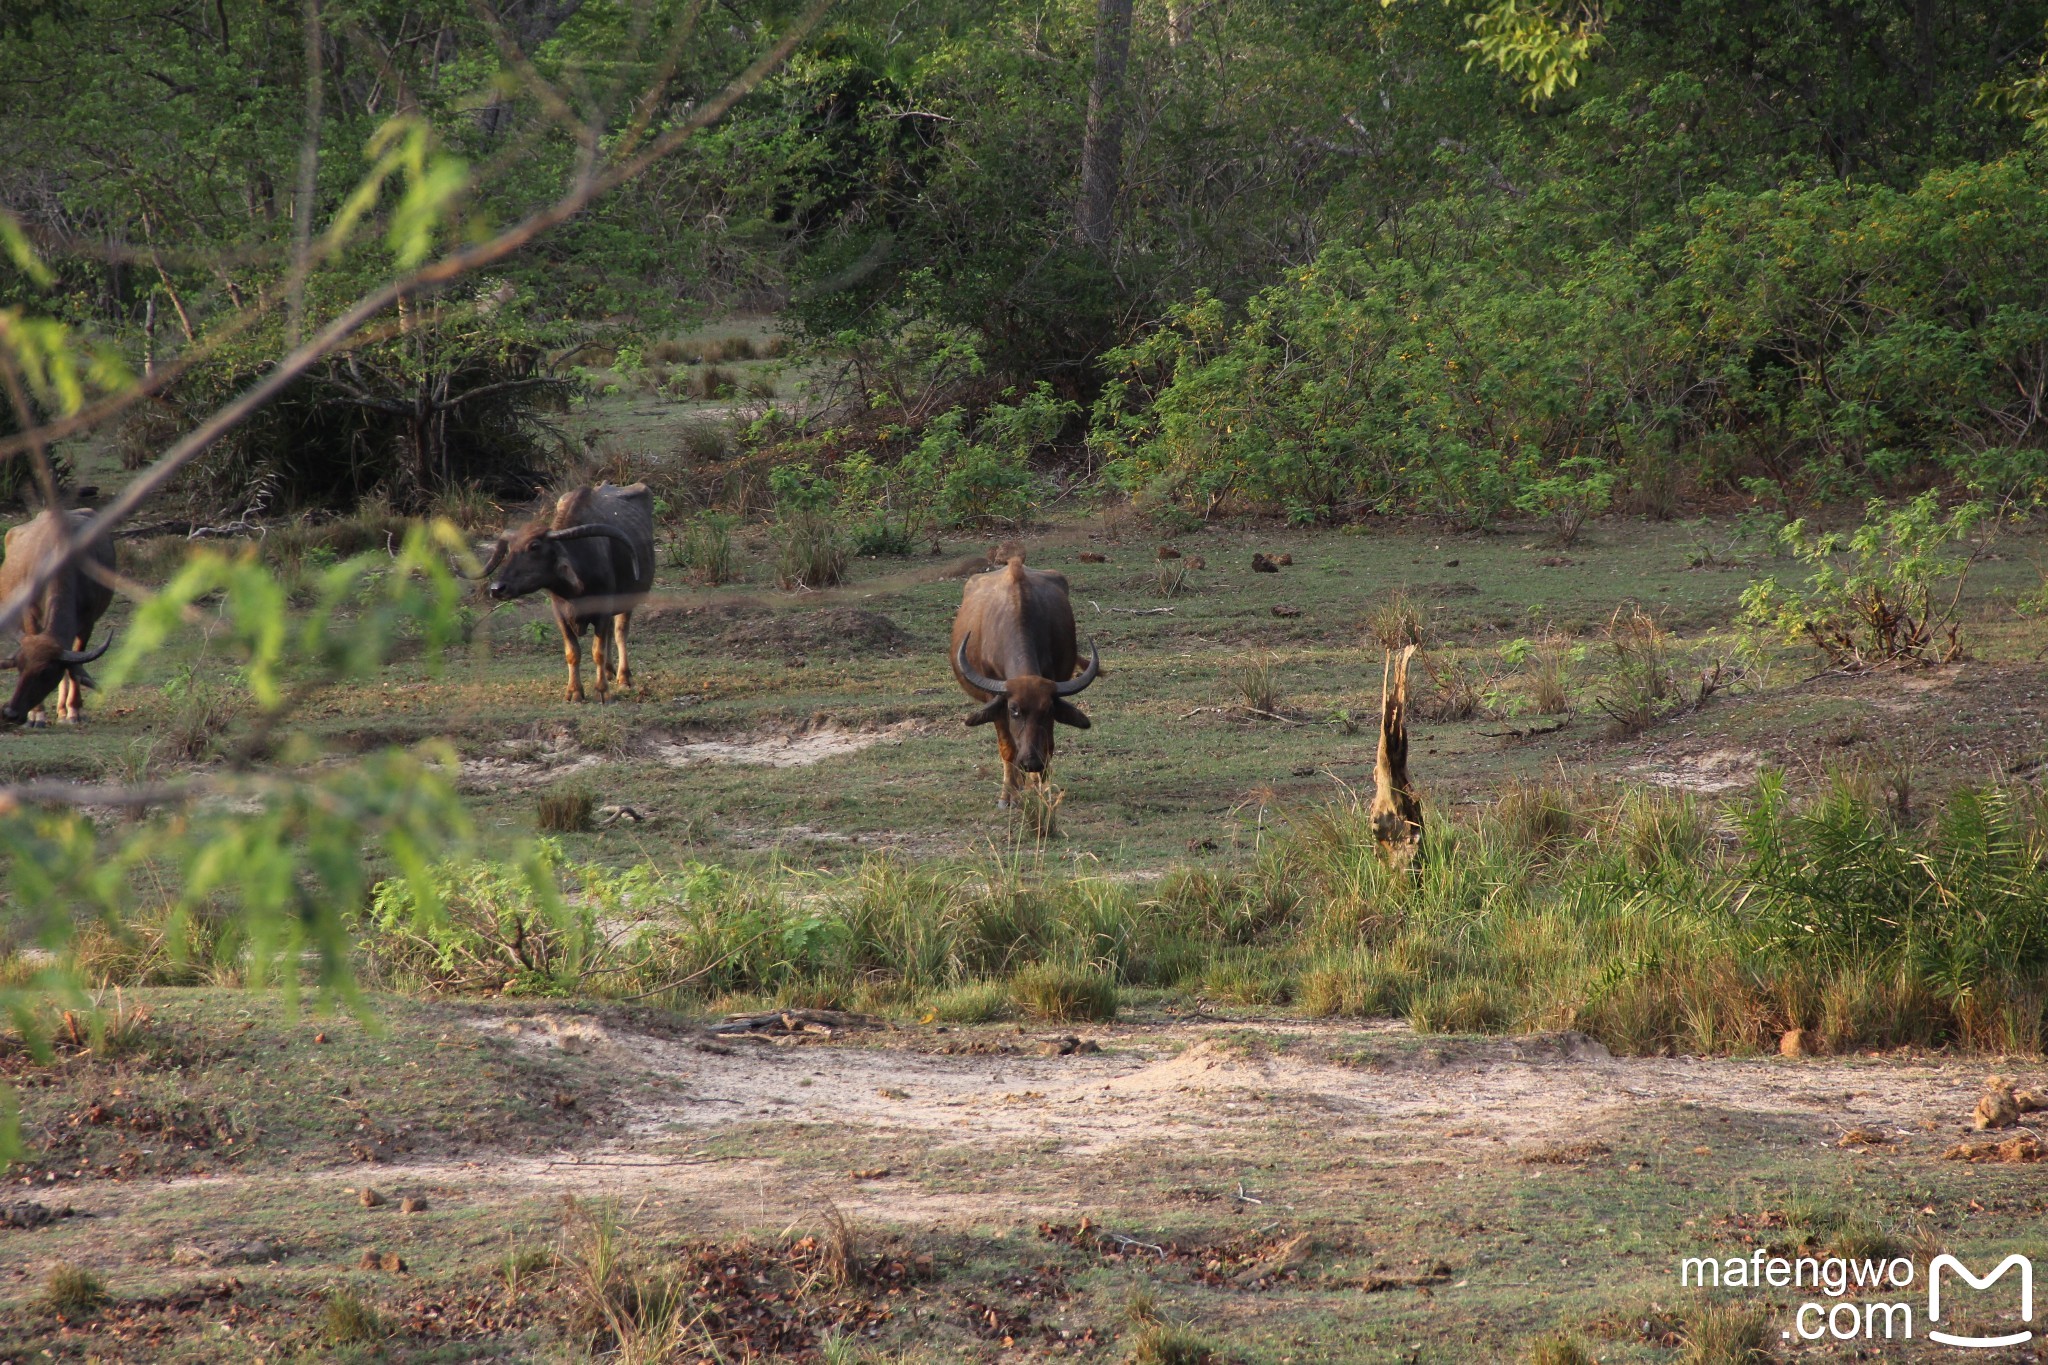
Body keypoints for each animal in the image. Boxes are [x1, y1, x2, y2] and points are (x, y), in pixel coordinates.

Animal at [0, 509, 114, 724]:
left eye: (46, 673)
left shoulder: (87, 623)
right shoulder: (30, 616)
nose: (10, 713)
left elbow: (74, 666)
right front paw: (37, 714)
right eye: (19, 666)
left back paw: (63, 709)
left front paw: (74, 710)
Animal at [477, 485, 647, 703]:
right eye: (510, 548)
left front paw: (602, 690)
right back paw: (610, 671)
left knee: (619, 632)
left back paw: (624, 677)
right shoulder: (560, 614)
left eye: (534, 546)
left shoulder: (603, 608)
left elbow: (597, 651)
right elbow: (572, 652)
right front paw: (574, 691)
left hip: (628, 601)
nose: (497, 588)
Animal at [946, 556, 1097, 806]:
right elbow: (1007, 748)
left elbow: (1048, 746)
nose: (1030, 763)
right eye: (1014, 710)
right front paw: (1008, 795)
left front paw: (1042, 788)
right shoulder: (996, 699)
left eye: (1047, 710)